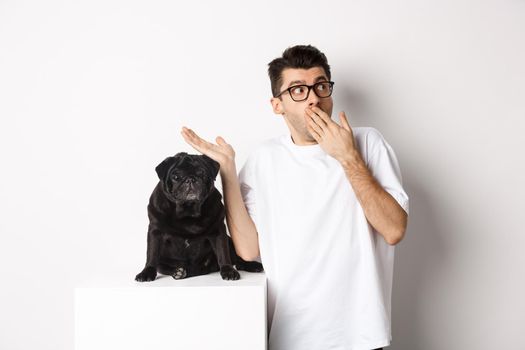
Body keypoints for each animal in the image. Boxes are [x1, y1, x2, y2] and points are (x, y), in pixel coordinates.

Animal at [136, 151, 262, 282]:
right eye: (175, 177)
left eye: (202, 174)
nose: (190, 179)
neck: (188, 211)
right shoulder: (155, 232)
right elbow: (152, 254)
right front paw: (147, 272)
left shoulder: (218, 231)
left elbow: (223, 252)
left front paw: (228, 270)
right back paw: (179, 272)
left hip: (230, 241)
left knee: (237, 259)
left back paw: (252, 265)